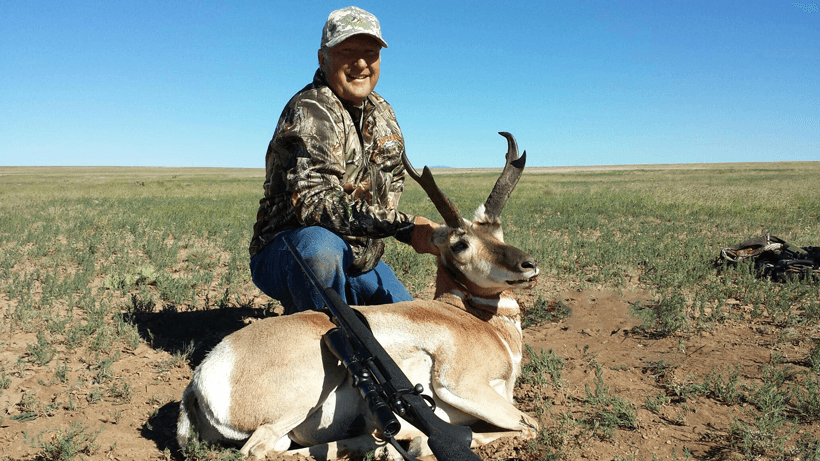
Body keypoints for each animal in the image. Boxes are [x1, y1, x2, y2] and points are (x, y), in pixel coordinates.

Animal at [177, 132, 539, 460]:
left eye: (498, 231)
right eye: (460, 243)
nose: (529, 264)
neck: (471, 318)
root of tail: (201, 376)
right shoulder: (463, 386)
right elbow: (528, 425)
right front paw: (418, 444)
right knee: (259, 449)